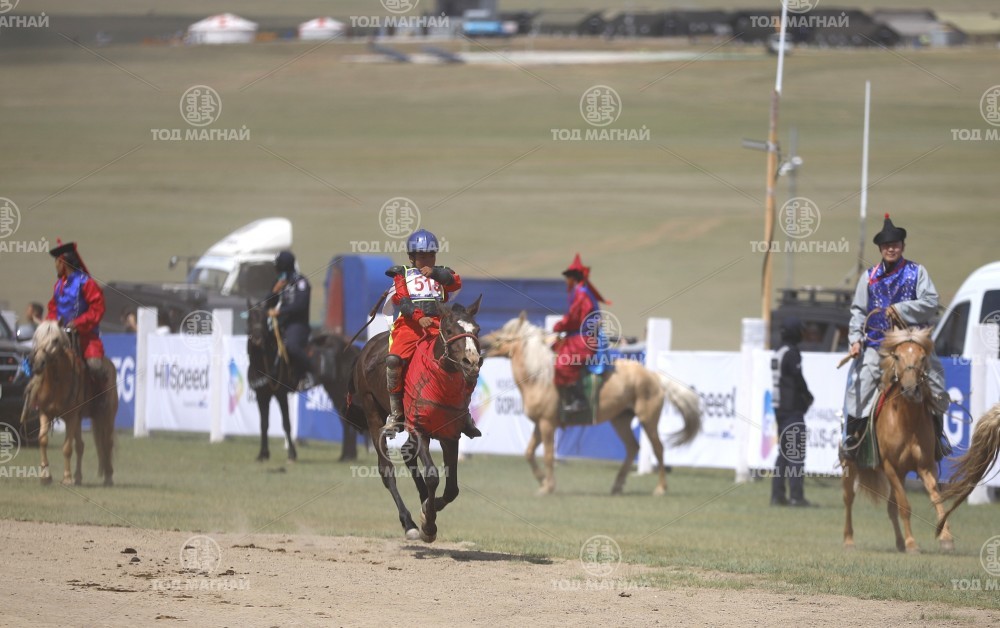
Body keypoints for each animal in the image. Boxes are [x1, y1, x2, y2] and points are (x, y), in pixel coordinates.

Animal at [22, 321, 116, 486]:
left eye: (55, 340)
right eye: (36, 338)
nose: (38, 363)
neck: (57, 381)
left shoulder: (71, 416)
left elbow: (67, 448)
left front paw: (67, 477)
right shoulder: (45, 413)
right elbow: (43, 440)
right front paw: (46, 476)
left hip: (107, 415)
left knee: (107, 443)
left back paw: (108, 477)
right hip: (79, 419)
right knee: (81, 446)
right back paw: (78, 477)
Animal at [245, 303, 360, 462]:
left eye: (264, 319)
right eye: (249, 319)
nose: (257, 339)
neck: (267, 361)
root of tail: (351, 347)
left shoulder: (281, 395)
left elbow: (286, 424)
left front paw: (292, 454)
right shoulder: (261, 396)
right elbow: (263, 425)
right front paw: (263, 454)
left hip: (339, 390)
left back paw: (348, 456)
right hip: (333, 390)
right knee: (345, 420)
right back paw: (346, 455)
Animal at [346, 296, 482, 542]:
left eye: (477, 330)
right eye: (449, 330)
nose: (472, 362)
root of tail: (365, 349)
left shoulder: (450, 435)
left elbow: (452, 488)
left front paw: (429, 507)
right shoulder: (419, 428)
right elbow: (432, 476)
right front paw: (428, 524)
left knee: (407, 453)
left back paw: (423, 501)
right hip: (373, 412)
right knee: (387, 470)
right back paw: (408, 522)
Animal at [480, 313, 702, 496]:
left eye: (502, 333)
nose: (481, 341)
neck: (539, 378)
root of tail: (653, 375)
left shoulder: (547, 424)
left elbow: (549, 456)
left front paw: (548, 487)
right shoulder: (539, 425)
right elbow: (528, 453)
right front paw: (542, 481)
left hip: (648, 419)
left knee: (658, 449)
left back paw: (660, 488)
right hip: (620, 420)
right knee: (633, 447)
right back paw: (617, 485)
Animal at [840, 327, 954, 553]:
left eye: (922, 357)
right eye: (897, 356)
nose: (910, 389)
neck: (907, 421)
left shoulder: (925, 466)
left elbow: (936, 498)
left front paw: (945, 537)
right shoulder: (890, 466)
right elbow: (905, 506)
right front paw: (912, 544)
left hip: (900, 474)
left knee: (890, 507)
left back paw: (900, 542)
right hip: (851, 464)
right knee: (849, 498)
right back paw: (849, 540)